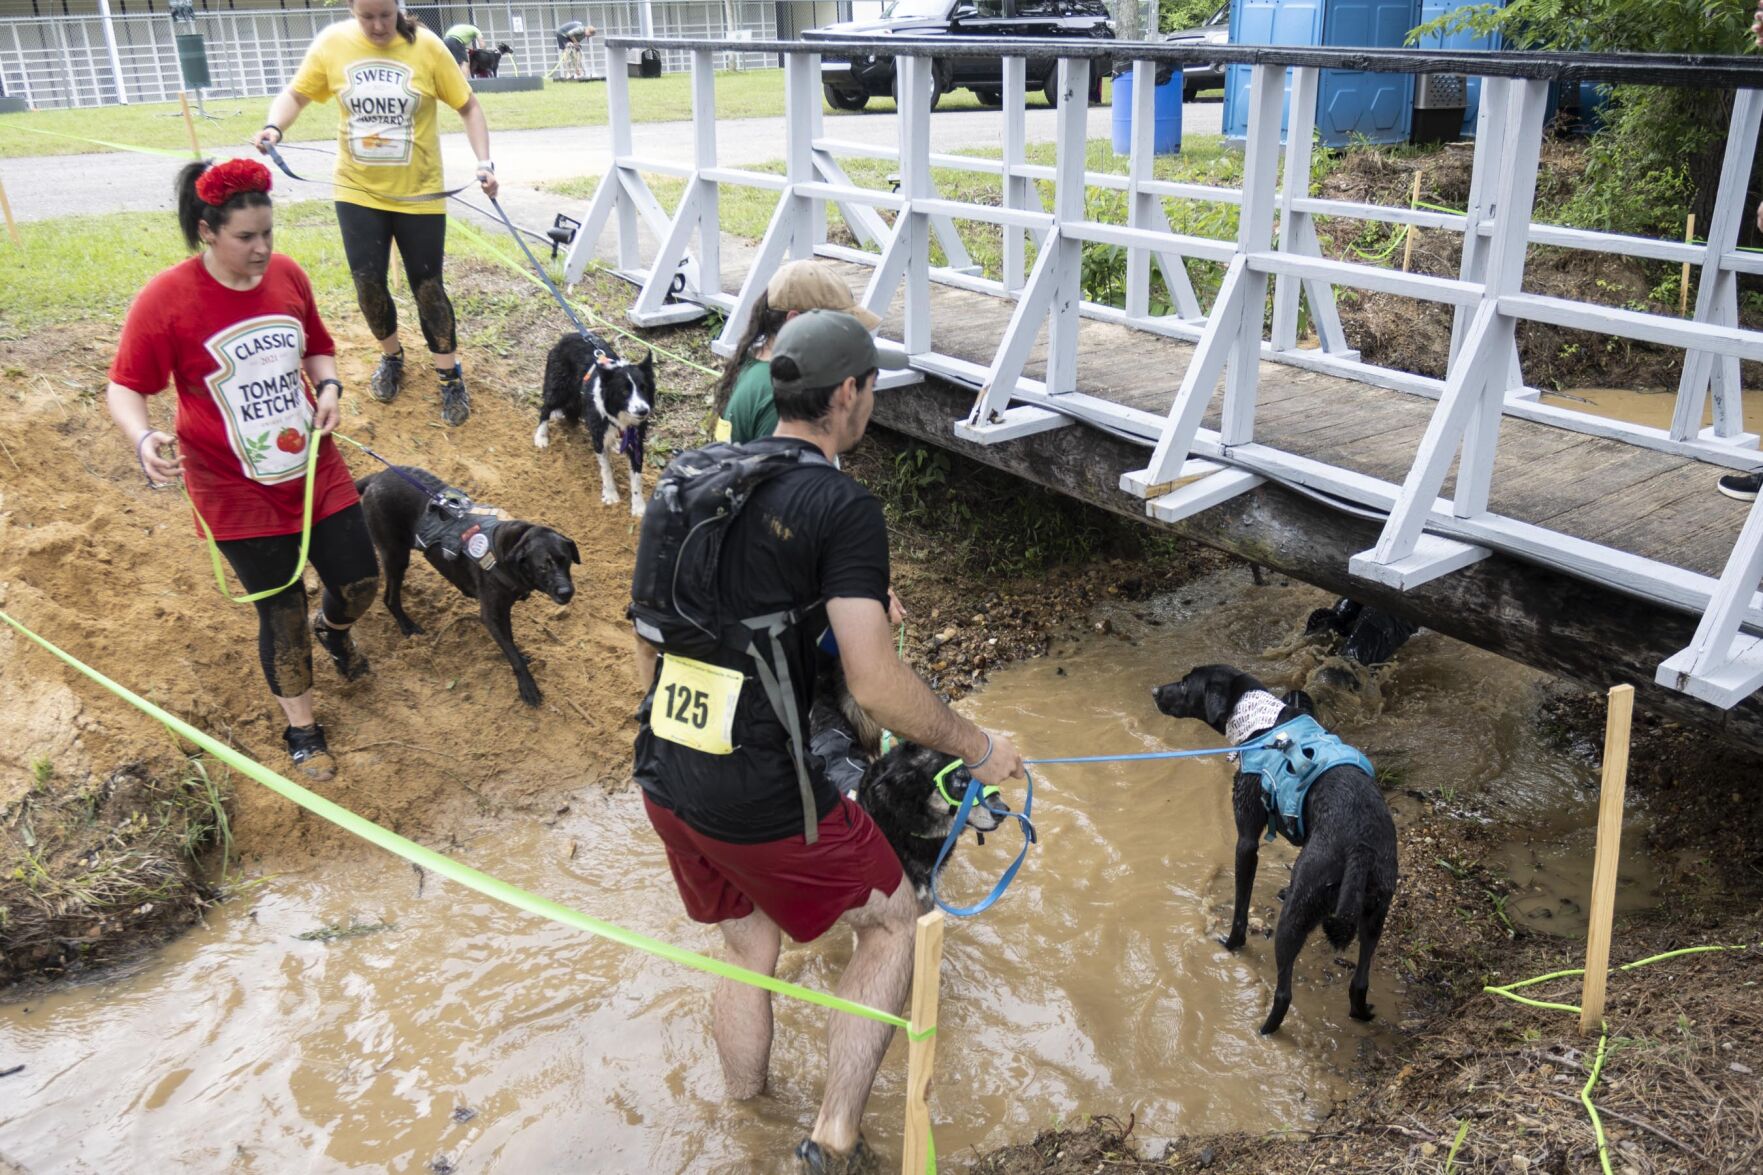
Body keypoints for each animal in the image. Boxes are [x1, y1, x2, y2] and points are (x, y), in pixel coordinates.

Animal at [354, 465, 581, 705]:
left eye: (566, 561)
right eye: (543, 567)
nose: (566, 592)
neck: (511, 547)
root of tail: (378, 476)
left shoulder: (503, 610)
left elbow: (511, 643)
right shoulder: (491, 615)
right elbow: (511, 653)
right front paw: (528, 686)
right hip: (396, 556)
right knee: (389, 597)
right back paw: (407, 626)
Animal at [532, 329, 659, 511]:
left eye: (644, 388)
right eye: (624, 391)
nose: (643, 410)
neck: (618, 414)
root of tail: (568, 335)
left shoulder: (635, 438)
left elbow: (636, 477)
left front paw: (638, 507)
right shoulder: (599, 435)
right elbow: (606, 469)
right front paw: (611, 495)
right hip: (559, 387)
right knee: (546, 408)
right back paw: (541, 437)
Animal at [1149, 663, 1396, 1030]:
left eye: (1184, 683)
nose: (1154, 691)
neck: (1260, 722)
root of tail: (1360, 847)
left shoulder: (1246, 841)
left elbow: (1240, 907)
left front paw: (1230, 944)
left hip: (1293, 920)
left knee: (1283, 993)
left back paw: (1264, 1030)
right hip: (1375, 916)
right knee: (1359, 982)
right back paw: (1360, 1012)